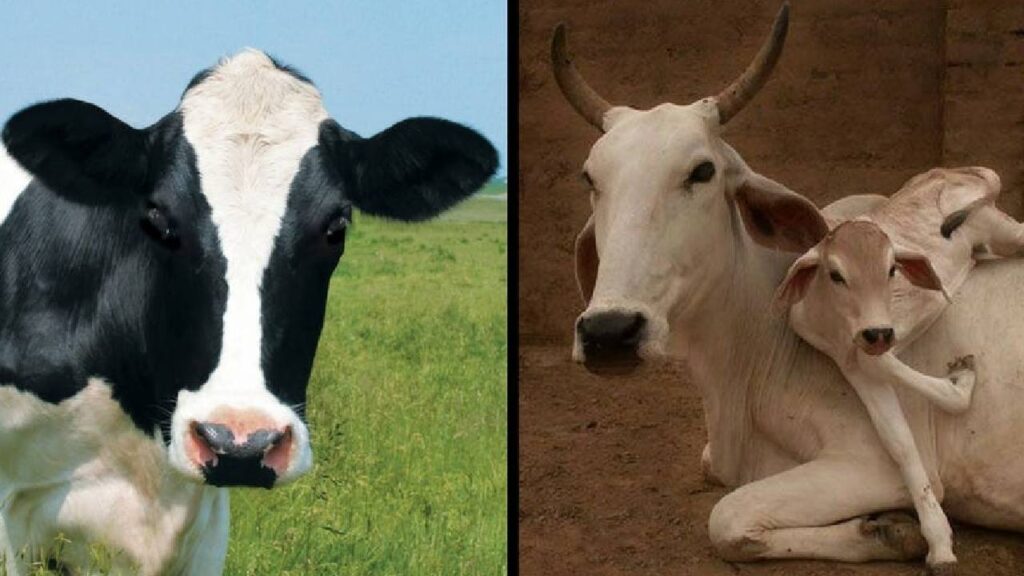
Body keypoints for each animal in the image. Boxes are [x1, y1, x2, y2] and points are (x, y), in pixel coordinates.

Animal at [554, 4, 1024, 575]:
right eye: (589, 178)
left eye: (702, 170)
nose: (609, 332)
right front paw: (888, 530)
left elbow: (727, 518)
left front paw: (901, 531)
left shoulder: (870, 465)